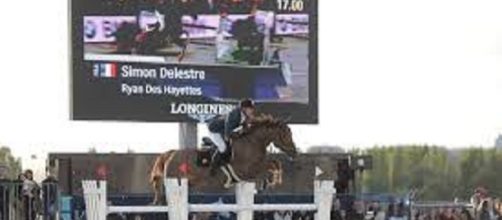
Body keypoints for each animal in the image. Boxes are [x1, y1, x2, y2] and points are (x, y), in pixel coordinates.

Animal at [149, 115, 298, 205]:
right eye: (285, 134)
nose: (294, 152)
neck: (252, 143)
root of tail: (170, 154)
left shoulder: (256, 166)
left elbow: (275, 163)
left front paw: (273, 181)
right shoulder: (245, 171)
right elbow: (266, 168)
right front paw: (268, 183)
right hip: (176, 181)